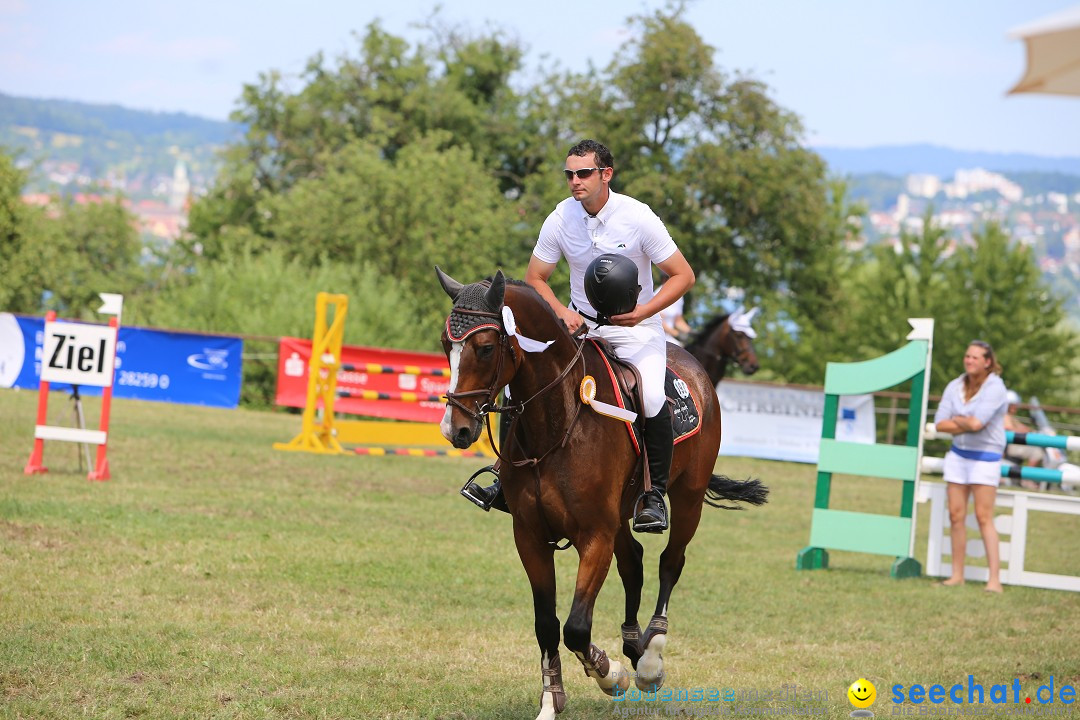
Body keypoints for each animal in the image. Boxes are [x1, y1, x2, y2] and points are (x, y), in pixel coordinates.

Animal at [434, 267, 764, 716]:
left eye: (485, 348)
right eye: (444, 343)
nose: (456, 430)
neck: (558, 420)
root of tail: (695, 372)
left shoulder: (595, 536)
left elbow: (576, 627)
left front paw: (610, 675)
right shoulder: (530, 537)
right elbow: (547, 625)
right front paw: (551, 701)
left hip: (688, 498)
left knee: (670, 562)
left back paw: (650, 659)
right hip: (622, 514)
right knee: (634, 562)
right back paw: (634, 645)